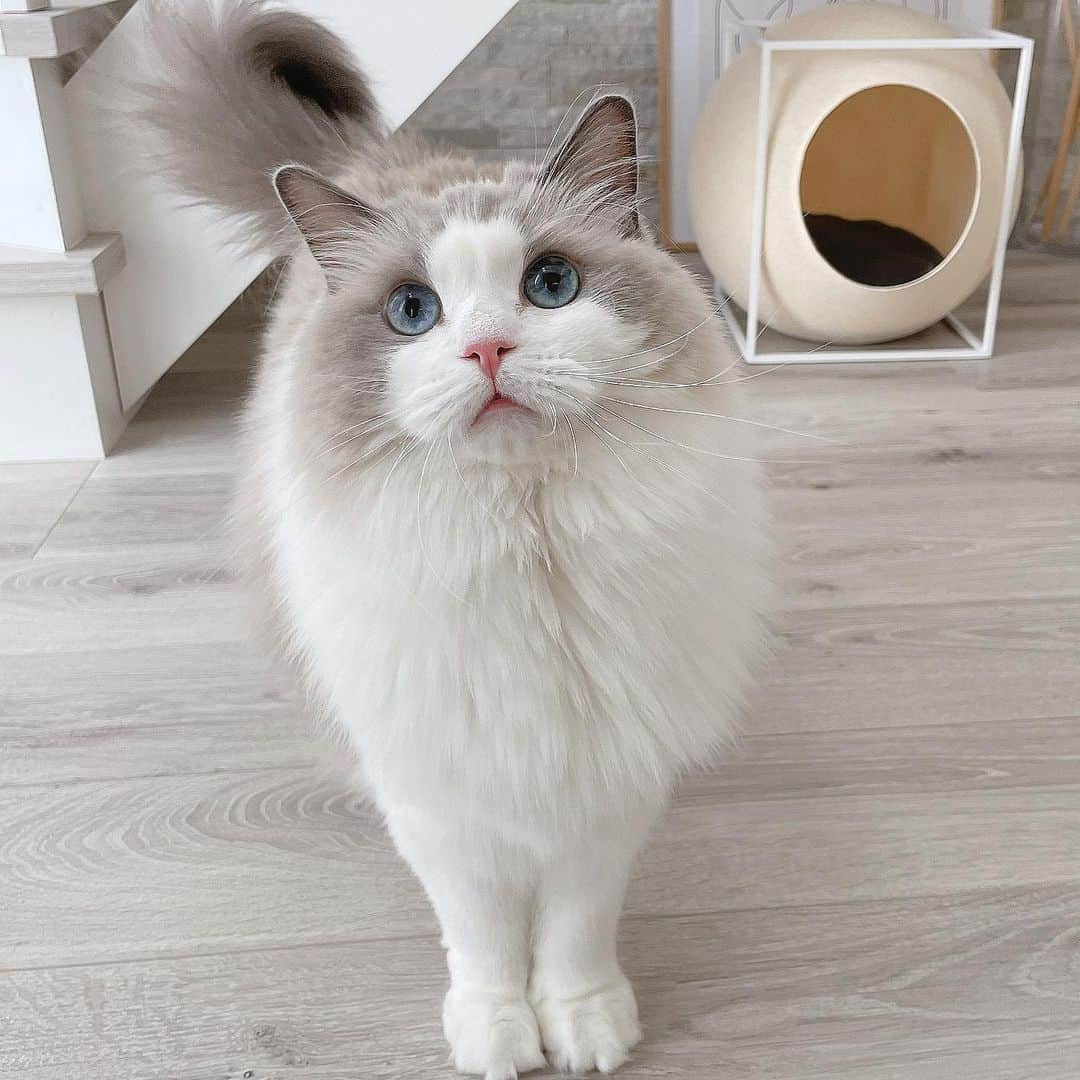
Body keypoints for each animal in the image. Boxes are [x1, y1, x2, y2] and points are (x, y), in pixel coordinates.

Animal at [130, 4, 773, 1075]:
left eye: (550, 284)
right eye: (413, 313)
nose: (486, 350)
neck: (523, 550)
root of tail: (389, 158)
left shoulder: (606, 788)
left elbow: (574, 933)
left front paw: (584, 1025)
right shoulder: (440, 798)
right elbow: (483, 938)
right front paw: (500, 1034)